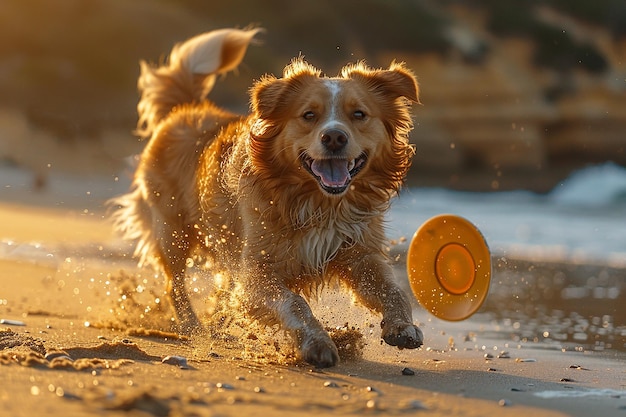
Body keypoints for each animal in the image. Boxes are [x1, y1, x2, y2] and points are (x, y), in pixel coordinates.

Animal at [112, 27, 424, 366]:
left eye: (359, 114)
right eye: (308, 115)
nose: (334, 137)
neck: (320, 204)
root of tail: (188, 109)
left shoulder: (360, 253)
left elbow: (394, 289)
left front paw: (402, 326)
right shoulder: (258, 269)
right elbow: (294, 303)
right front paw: (317, 343)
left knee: (223, 288)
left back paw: (219, 323)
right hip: (172, 229)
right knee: (175, 284)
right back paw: (193, 326)